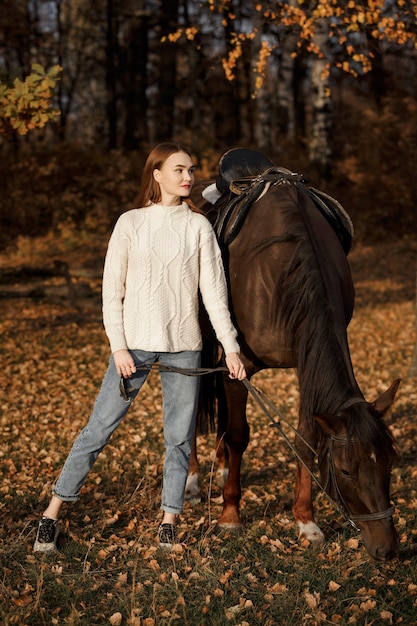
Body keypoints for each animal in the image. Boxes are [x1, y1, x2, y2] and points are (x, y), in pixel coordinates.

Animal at [186, 149, 400, 560]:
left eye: (390, 462)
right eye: (346, 470)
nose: (386, 548)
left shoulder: (306, 362)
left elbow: (305, 438)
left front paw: (306, 521)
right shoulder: (242, 366)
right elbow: (239, 434)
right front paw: (230, 516)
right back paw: (190, 477)